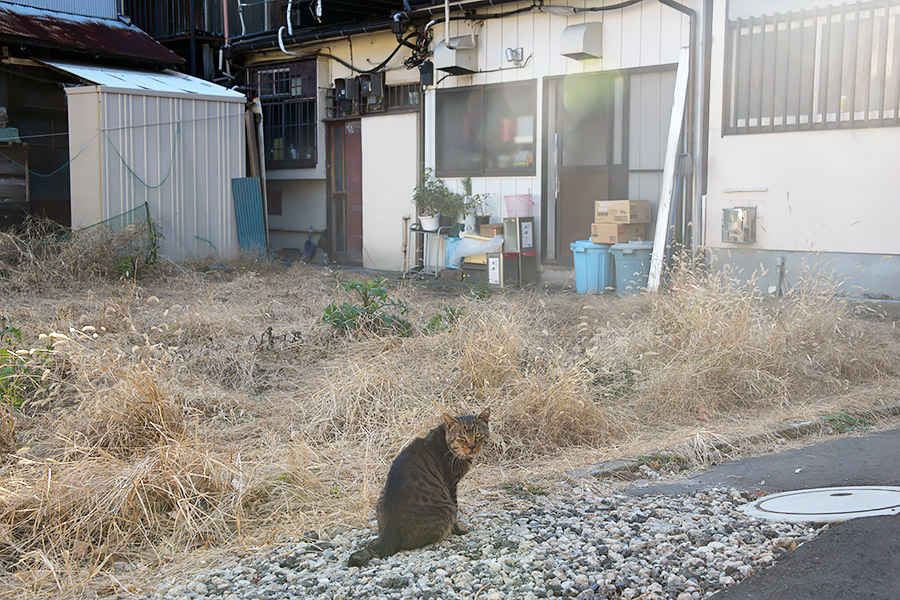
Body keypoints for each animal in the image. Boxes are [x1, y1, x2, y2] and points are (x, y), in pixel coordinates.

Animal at [348, 408, 492, 568]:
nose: (472, 446)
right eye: (461, 437)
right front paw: (460, 529)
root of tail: (389, 535)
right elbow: (456, 510)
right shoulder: (451, 485)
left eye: (478, 435)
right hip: (444, 509)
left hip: (381, 496)